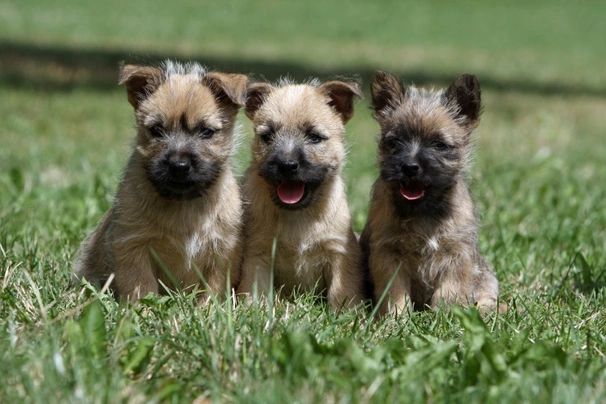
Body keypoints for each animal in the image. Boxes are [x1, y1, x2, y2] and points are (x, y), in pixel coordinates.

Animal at [72, 60, 248, 304]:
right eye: (156, 130)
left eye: (206, 132)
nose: (179, 165)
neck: (184, 204)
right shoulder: (133, 245)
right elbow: (141, 285)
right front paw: (143, 309)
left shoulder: (224, 251)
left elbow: (212, 289)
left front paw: (208, 310)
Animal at [364, 69, 502, 316]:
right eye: (395, 141)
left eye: (439, 145)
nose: (410, 167)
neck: (422, 210)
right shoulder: (387, 253)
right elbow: (394, 291)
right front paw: (396, 317)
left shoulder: (457, 254)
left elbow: (450, 291)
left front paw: (444, 317)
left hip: (486, 278)